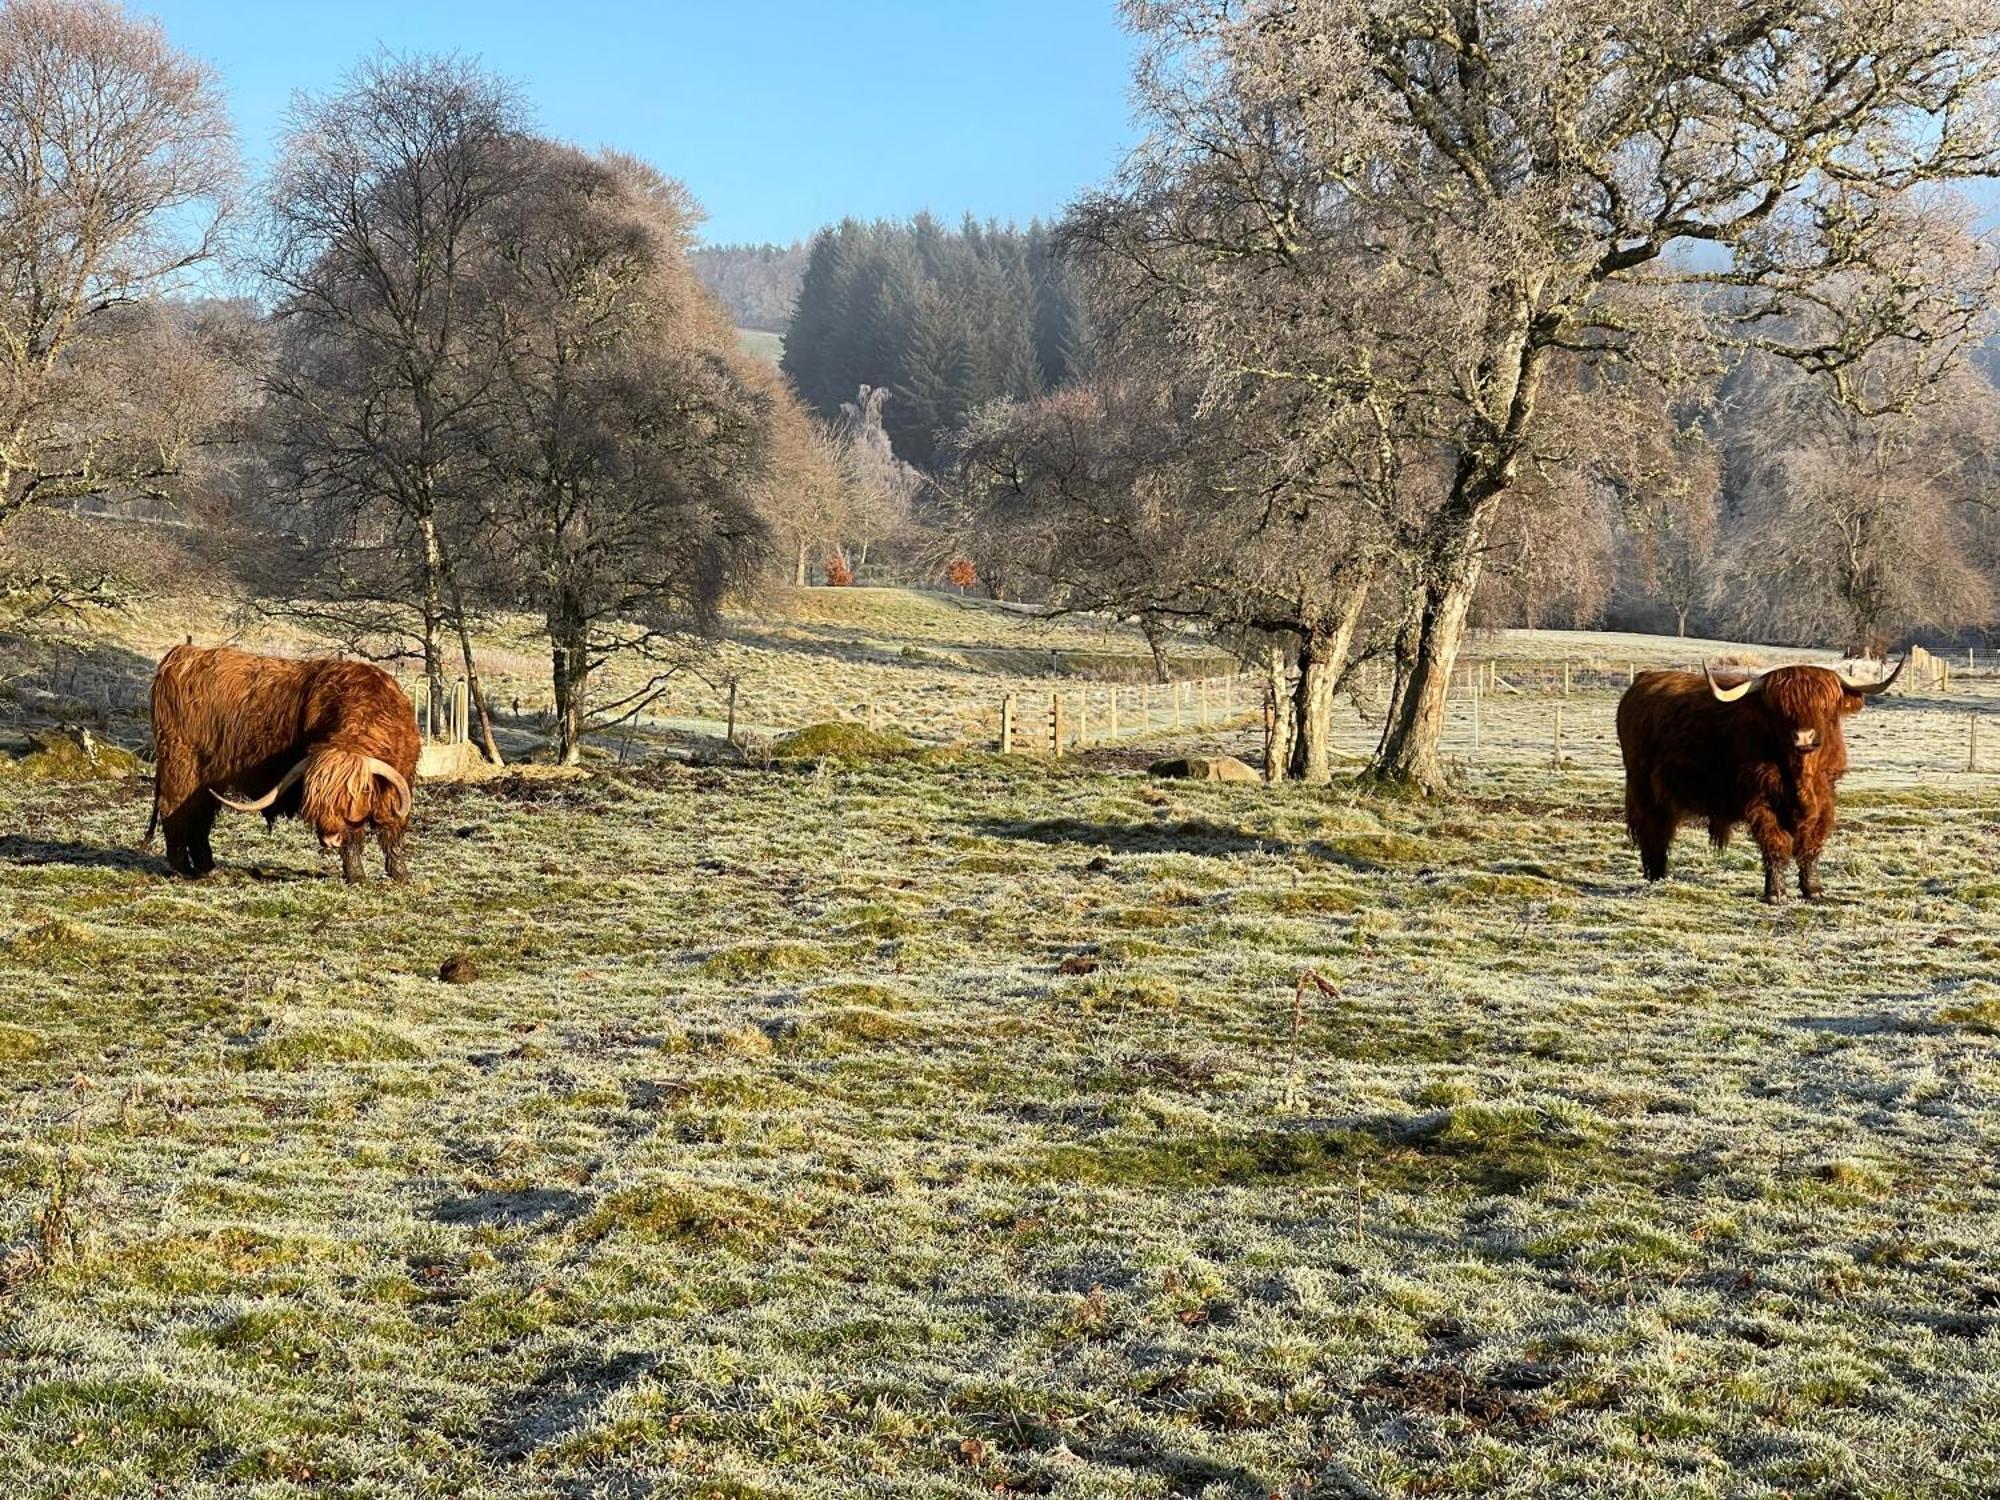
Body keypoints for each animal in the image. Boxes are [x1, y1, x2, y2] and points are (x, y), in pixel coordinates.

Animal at [146, 644, 422, 880]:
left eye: (357, 793)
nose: (329, 839)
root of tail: (180, 656)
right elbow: (355, 837)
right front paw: (356, 876)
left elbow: (392, 830)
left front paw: (400, 875)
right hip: (181, 765)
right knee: (174, 810)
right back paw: (182, 869)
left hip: (205, 778)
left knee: (199, 816)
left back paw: (208, 868)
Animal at [1608, 660, 1904, 904]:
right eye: (1781, 710)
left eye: (1824, 707)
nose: (1804, 737)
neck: (1802, 775)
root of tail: (1644, 678)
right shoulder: (1762, 802)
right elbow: (1776, 844)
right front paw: (1775, 893)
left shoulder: (1826, 796)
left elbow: (1811, 844)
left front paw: (1813, 889)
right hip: (1645, 788)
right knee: (1654, 830)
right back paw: (1656, 875)